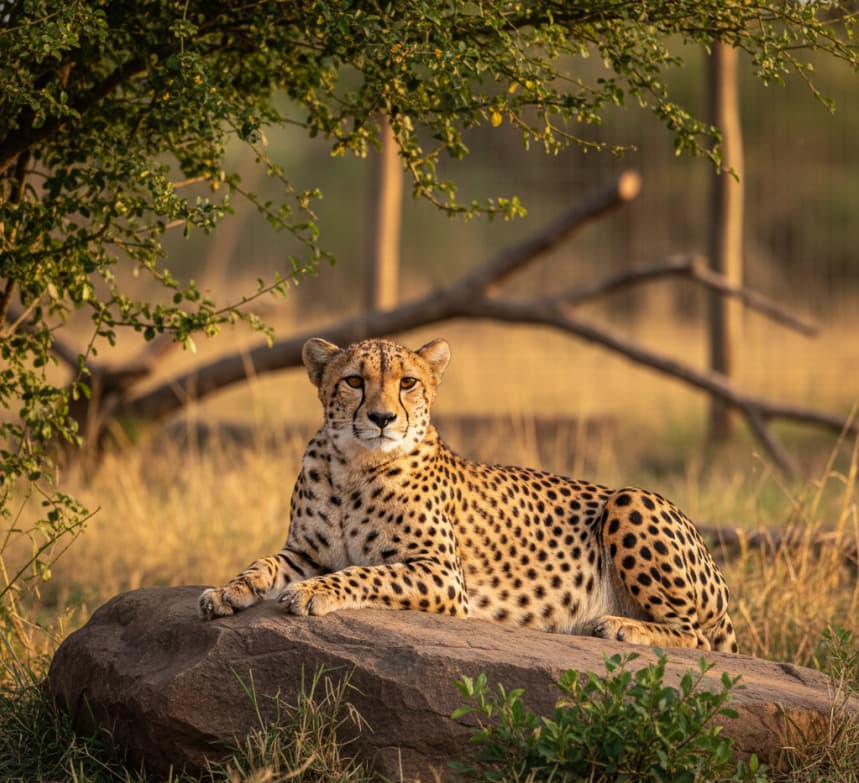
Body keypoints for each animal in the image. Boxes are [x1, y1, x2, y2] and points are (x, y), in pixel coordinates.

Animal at [199, 337, 738, 652]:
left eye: (408, 382)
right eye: (353, 381)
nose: (382, 418)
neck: (355, 466)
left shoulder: (441, 573)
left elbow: (363, 572)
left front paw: (314, 592)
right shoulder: (305, 552)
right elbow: (263, 563)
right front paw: (227, 590)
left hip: (630, 500)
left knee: (695, 637)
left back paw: (622, 627)